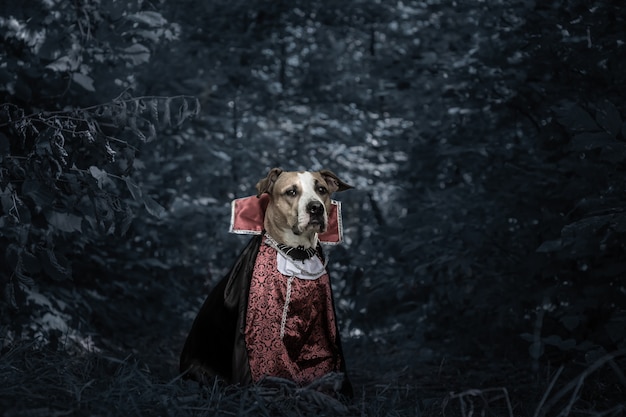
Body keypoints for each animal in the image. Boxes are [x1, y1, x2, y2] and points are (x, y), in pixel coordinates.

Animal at [182, 167, 352, 394]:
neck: (297, 254)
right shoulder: (265, 332)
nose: (316, 208)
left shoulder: (321, 331)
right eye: (291, 192)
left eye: (322, 190)